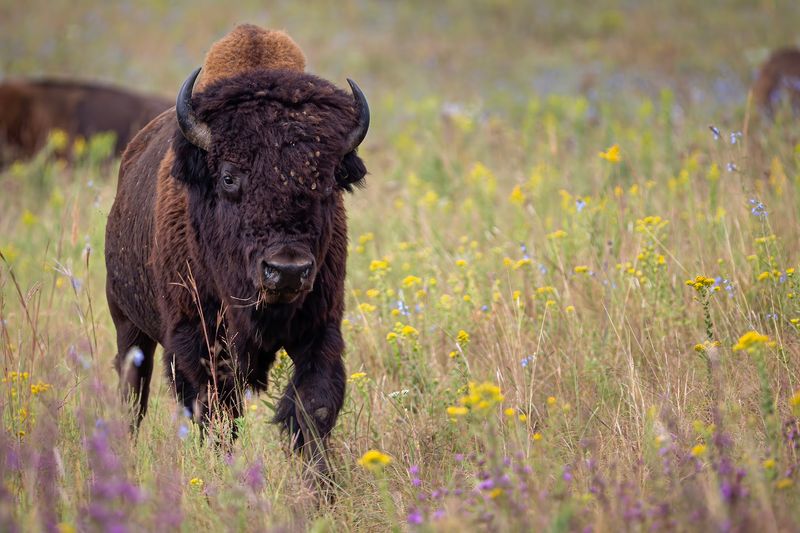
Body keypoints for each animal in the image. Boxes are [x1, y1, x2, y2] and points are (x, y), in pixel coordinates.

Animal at [104, 26, 369, 473]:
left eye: (329, 177)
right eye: (229, 177)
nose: (287, 269)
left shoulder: (320, 329)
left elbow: (314, 407)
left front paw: (323, 486)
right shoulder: (196, 341)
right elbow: (217, 415)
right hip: (128, 325)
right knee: (132, 400)